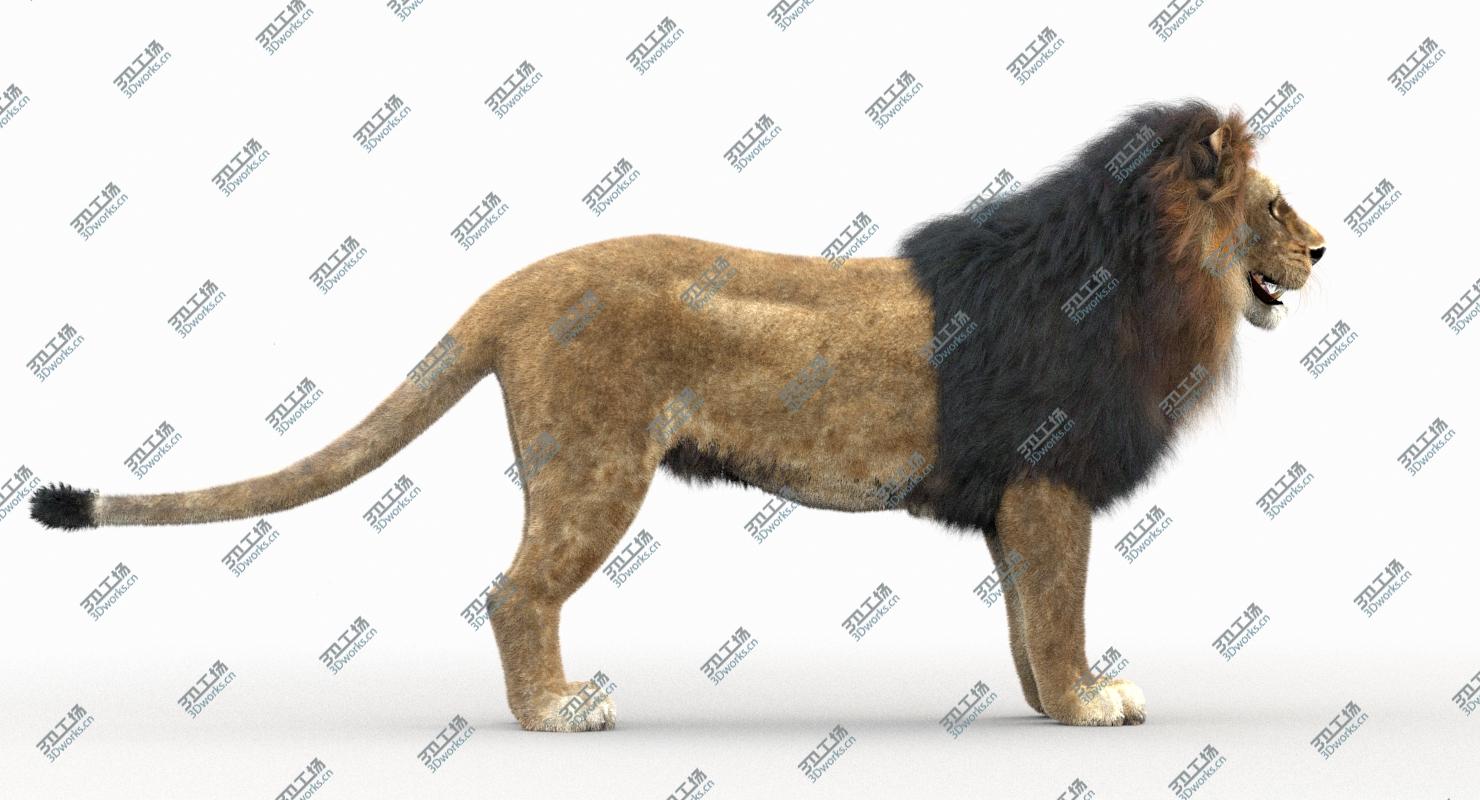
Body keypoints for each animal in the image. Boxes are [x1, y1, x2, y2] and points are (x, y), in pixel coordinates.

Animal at [33, 100, 1325, 731]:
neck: (1146, 282)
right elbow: (1059, 613)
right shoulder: (1050, 479)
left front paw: (1041, 700)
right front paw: (1086, 703)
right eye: (1271, 204)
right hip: (597, 468)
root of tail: (511, 286)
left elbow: (1024, 616)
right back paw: (555, 713)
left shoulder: (1016, 496)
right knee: (514, 591)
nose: (1323, 247)